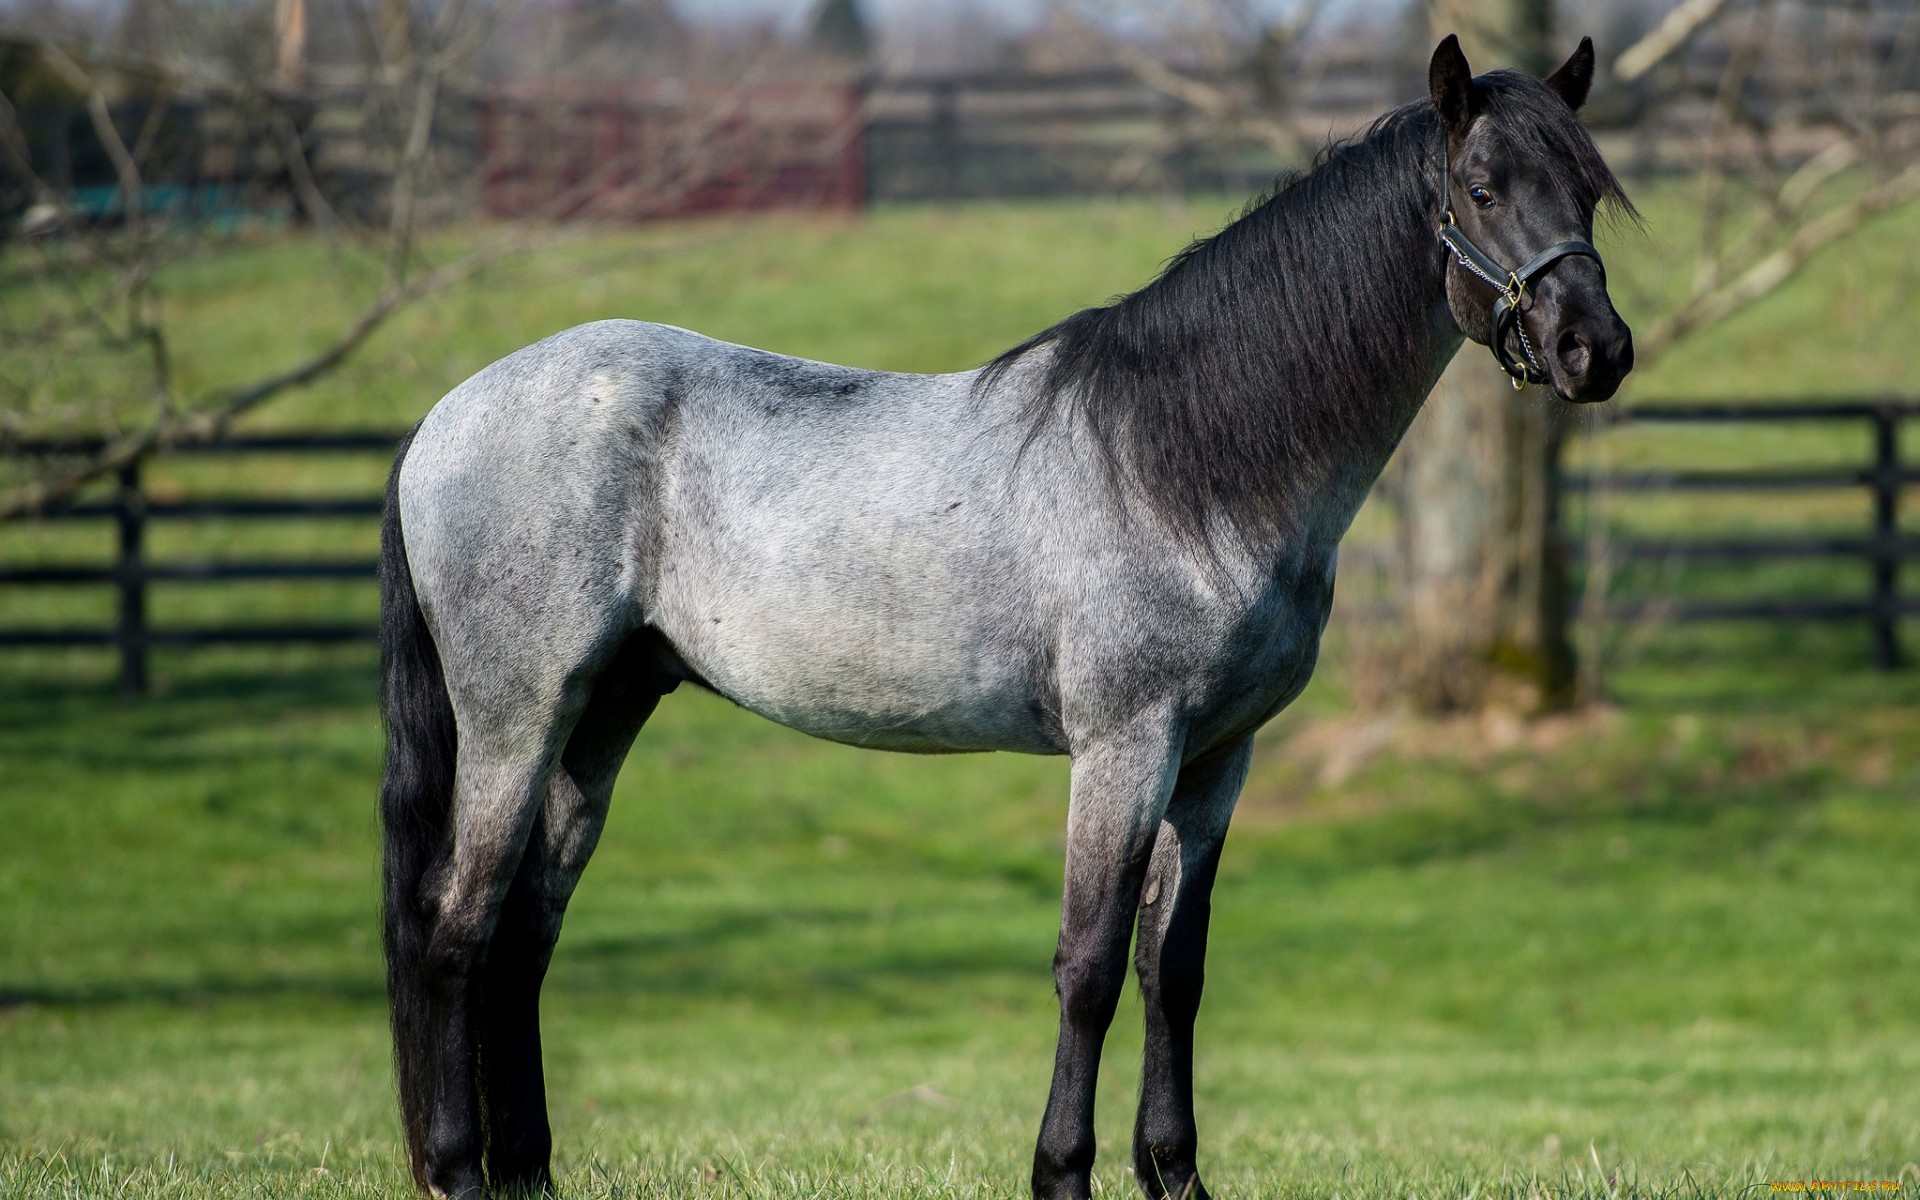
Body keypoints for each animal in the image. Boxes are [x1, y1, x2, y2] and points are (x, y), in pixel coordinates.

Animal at [378, 35, 1636, 1200]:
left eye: (1586, 188)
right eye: (1482, 189)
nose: (1597, 350)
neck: (1185, 464)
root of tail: (440, 421)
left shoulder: (1216, 759)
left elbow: (1172, 968)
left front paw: (1174, 1174)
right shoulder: (1125, 746)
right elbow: (1089, 965)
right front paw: (1062, 1171)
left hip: (602, 714)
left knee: (525, 933)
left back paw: (528, 1171)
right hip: (516, 716)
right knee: (456, 925)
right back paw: (459, 1169)